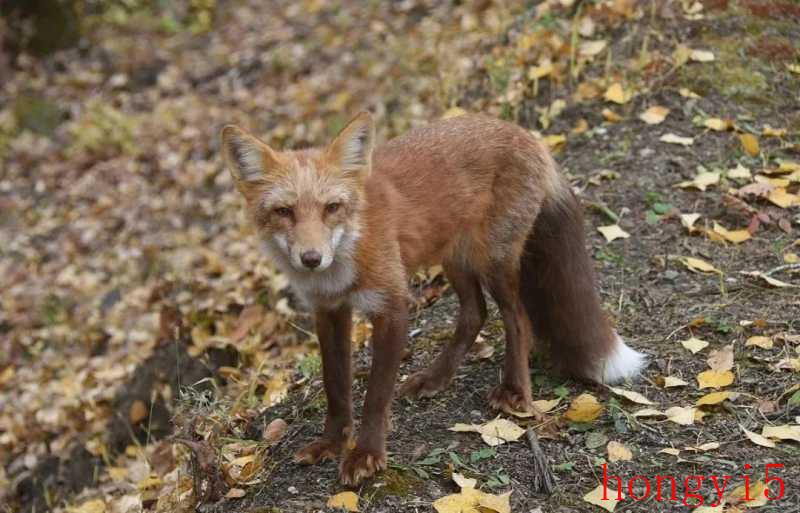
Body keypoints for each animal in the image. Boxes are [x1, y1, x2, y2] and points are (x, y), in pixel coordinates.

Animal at [222, 112, 648, 484]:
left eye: (332, 208)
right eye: (284, 211)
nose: (311, 259)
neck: (348, 255)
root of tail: (526, 134)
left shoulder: (393, 307)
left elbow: (375, 396)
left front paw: (367, 455)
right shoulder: (329, 312)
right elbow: (336, 387)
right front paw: (331, 443)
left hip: (493, 260)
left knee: (518, 318)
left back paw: (514, 390)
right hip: (455, 259)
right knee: (475, 314)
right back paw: (436, 378)